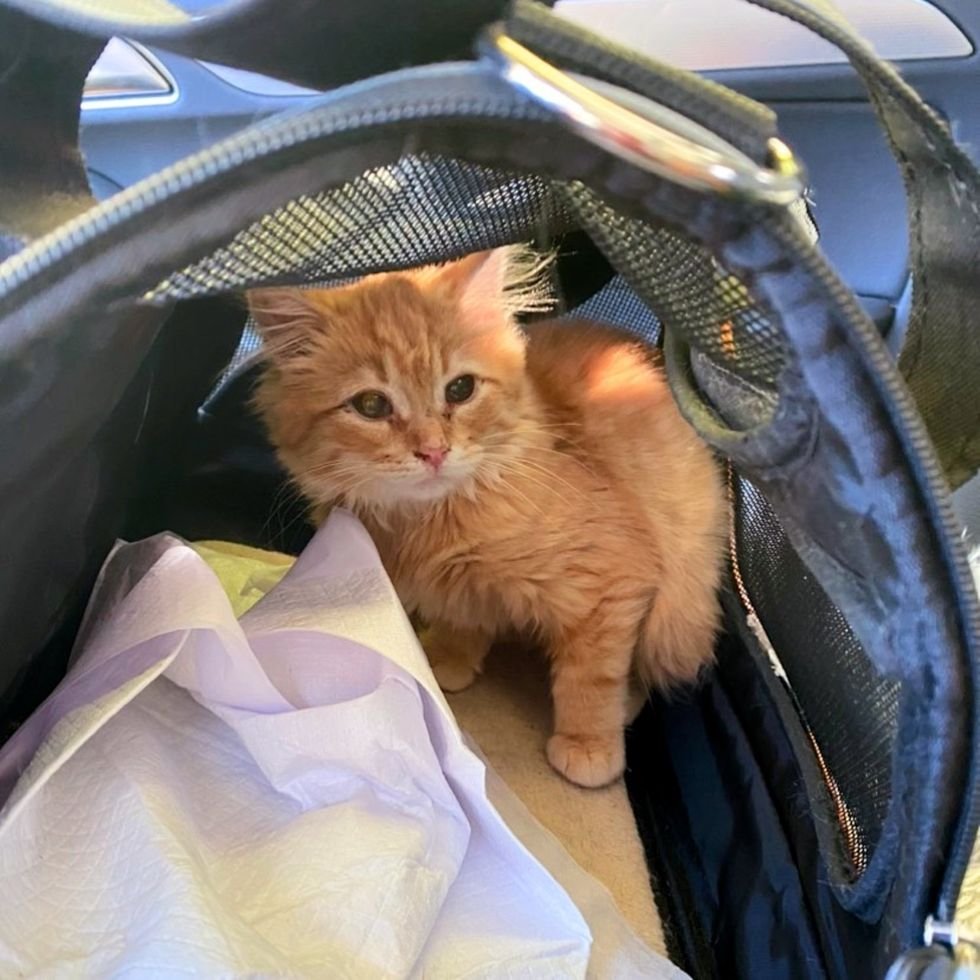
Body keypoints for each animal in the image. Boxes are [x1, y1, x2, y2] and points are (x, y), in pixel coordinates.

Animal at [245, 251, 728, 788]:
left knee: (647, 663)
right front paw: (445, 661)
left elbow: (591, 674)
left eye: (460, 389)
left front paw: (588, 745)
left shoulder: (615, 577)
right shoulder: (455, 586)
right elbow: (463, 620)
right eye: (371, 405)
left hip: (678, 615)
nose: (433, 451)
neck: (431, 522)